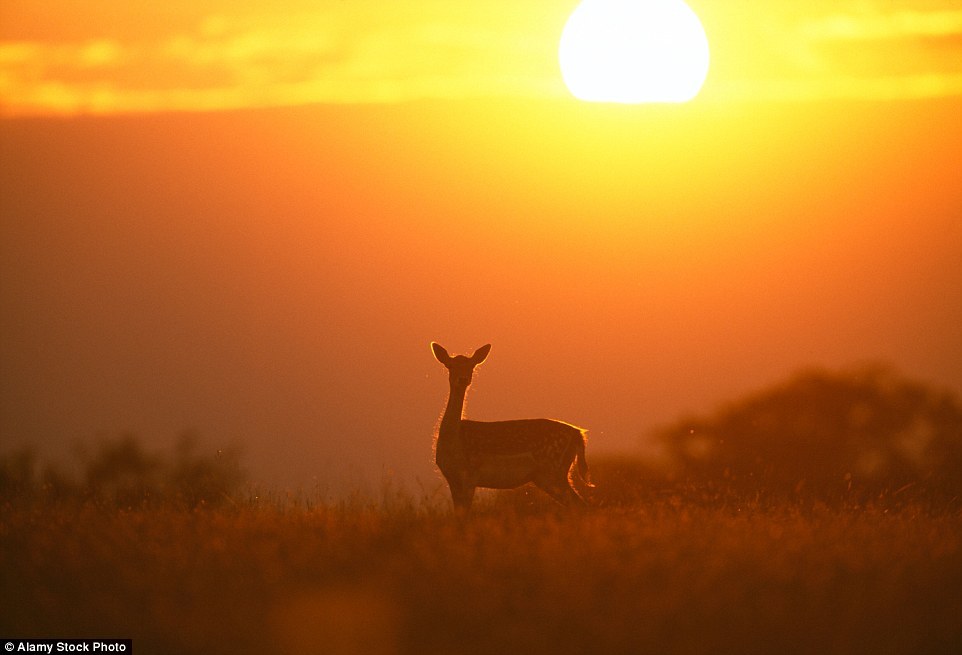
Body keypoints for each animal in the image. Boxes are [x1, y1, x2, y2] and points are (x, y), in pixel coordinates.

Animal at [430, 344, 592, 512]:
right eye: (450, 365)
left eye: (472, 366)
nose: (462, 379)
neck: (454, 443)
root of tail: (578, 434)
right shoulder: (453, 480)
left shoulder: (468, 476)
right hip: (548, 475)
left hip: (553, 471)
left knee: (580, 504)